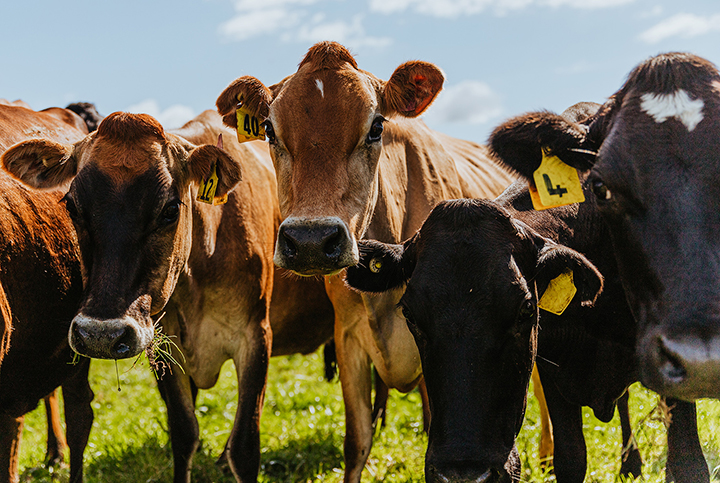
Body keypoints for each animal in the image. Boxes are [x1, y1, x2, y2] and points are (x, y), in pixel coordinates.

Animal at [2, 110, 334, 483]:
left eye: (170, 209)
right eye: (71, 206)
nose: (101, 336)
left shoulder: (256, 337)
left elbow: (246, 446)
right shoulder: (166, 344)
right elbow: (184, 431)